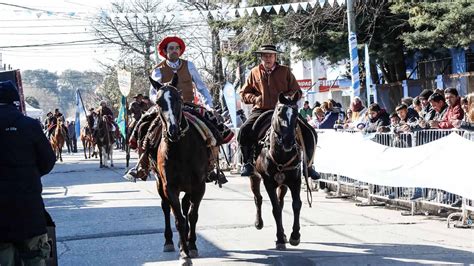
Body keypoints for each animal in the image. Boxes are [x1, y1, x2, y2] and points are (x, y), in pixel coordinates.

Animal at [148, 76, 207, 264]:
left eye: (178, 99)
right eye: (158, 102)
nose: (173, 130)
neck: (181, 150)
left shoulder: (199, 186)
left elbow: (192, 215)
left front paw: (192, 245)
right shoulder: (170, 187)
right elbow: (179, 219)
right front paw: (184, 253)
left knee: (186, 206)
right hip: (160, 184)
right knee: (166, 208)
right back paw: (169, 241)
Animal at [250, 93, 302, 249]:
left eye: (296, 114)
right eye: (279, 113)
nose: (288, 141)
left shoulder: (295, 181)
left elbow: (296, 205)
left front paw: (294, 235)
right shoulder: (269, 183)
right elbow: (276, 209)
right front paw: (279, 239)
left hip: (283, 184)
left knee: (281, 201)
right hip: (254, 177)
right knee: (258, 198)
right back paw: (259, 223)